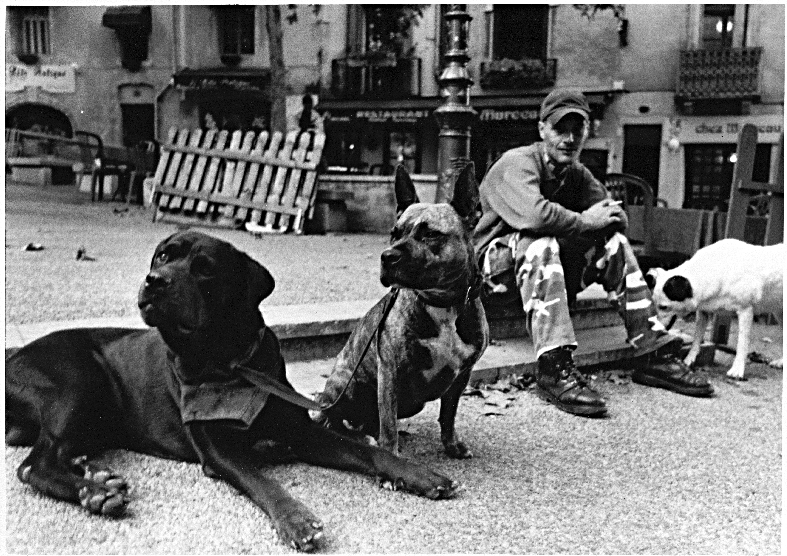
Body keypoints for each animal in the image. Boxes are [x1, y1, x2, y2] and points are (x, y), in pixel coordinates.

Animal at [6, 230, 458, 552]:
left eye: (204, 267)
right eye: (163, 256)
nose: (153, 281)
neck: (227, 360)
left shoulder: (301, 430)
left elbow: (369, 450)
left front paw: (419, 474)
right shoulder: (218, 450)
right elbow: (262, 481)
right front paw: (296, 520)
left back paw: (93, 473)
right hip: (77, 382)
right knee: (33, 464)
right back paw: (95, 491)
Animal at [312, 163, 486, 458]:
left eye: (431, 234)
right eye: (394, 233)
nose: (388, 255)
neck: (442, 304)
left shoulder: (461, 376)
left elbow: (448, 414)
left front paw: (451, 445)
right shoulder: (390, 372)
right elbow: (389, 422)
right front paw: (391, 457)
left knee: (369, 421)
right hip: (346, 384)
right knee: (336, 421)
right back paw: (364, 438)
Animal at [648, 239, 784, 378]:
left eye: (663, 307)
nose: (652, 327)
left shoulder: (745, 311)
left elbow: (742, 343)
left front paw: (737, 369)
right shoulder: (703, 312)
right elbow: (696, 339)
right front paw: (688, 360)